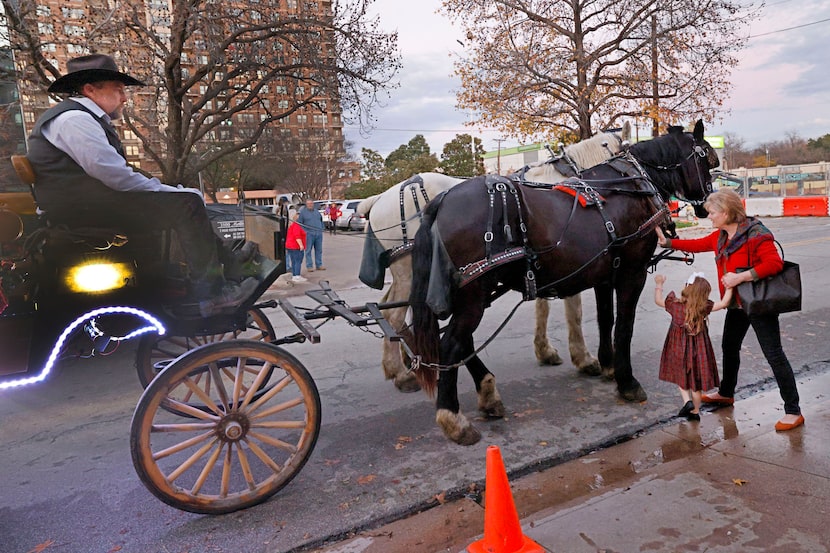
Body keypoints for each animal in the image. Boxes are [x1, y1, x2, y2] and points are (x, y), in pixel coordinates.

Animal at [358, 125, 632, 392]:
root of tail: (379, 198)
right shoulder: (572, 259)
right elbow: (573, 309)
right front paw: (584, 358)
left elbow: (542, 305)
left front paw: (545, 350)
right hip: (411, 272)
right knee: (394, 317)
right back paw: (402, 374)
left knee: (392, 307)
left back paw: (404, 363)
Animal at [410, 121, 720, 444]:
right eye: (707, 160)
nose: (707, 205)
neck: (631, 183)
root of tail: (441, 202)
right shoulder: (631, 272)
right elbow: (624, 326)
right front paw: (627, 381)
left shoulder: (605, 273)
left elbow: (605, 319)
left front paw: (607, 364)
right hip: (474, 293)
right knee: (451, 345)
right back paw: (453, 418)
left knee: (462, 342)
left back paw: (487, 395)